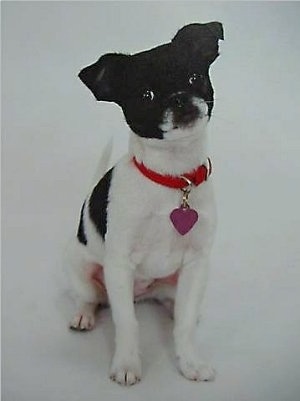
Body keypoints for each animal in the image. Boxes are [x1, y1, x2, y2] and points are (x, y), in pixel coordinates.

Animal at [67, 21, 223, 384]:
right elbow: (127, 323)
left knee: (176, 306)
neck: (173, 179)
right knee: (90, 298)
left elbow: (184, 324)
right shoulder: (119, 264)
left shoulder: (197, 263)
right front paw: (126, 364)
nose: (179, 98)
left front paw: (190, 362)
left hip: (174, 285)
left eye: (194, 77)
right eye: (146, 96)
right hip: (85, 270)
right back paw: (83, 315)